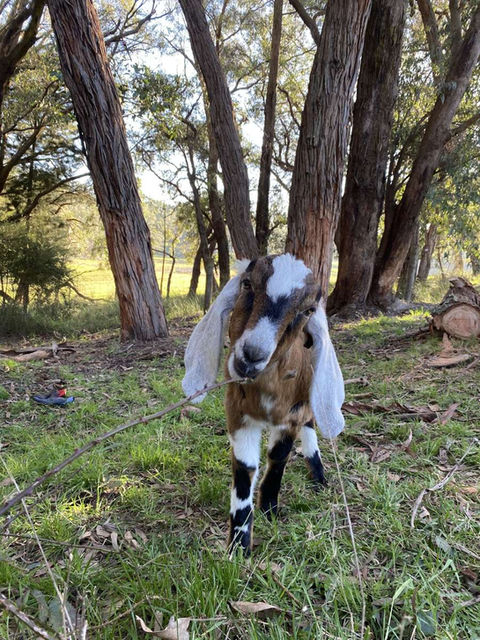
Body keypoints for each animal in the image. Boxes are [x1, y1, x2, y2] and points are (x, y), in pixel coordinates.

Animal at [182, 253, 345, 555]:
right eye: (247, 284)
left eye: (307, 310)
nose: (252, 355)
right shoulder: (237, 413)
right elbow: (245, 468)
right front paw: (239, 543)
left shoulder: (291, 416)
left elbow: (279, 456)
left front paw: (269, 508)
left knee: (310, 422)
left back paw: (318, 474)